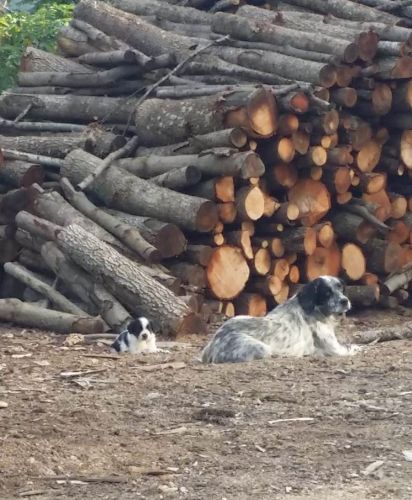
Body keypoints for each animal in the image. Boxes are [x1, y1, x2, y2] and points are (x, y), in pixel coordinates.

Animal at [202, 276, 360, 366]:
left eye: (341, 289)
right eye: (327, 292)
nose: (345, 301)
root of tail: (214, 342)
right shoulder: (336, 350)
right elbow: (355, 347)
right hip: (262, 348)